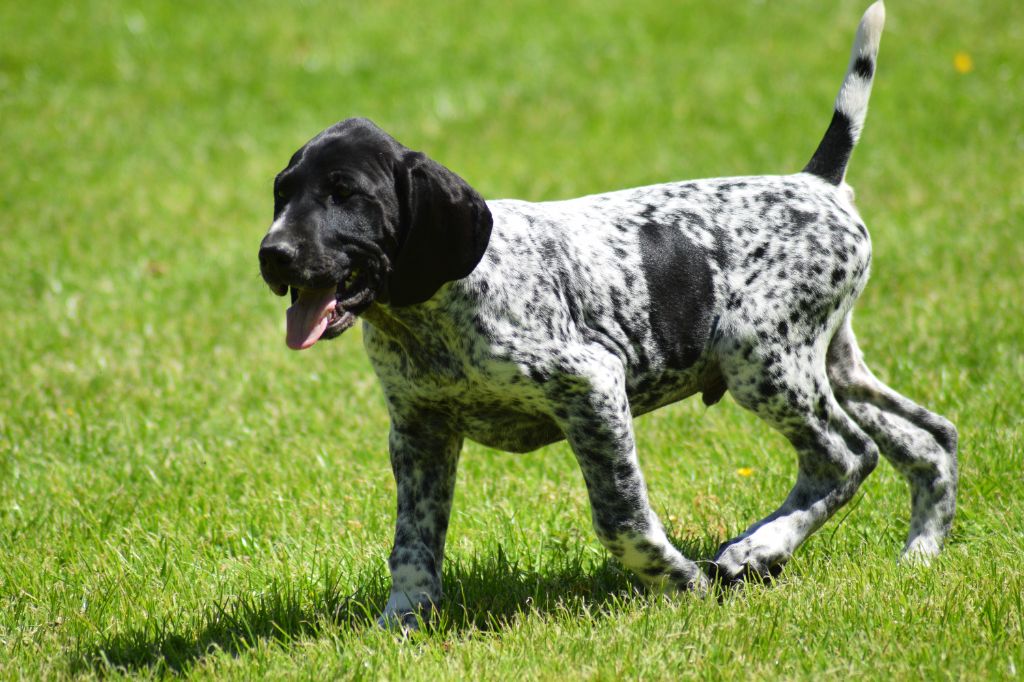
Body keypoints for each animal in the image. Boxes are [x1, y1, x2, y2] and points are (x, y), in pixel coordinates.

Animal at [258, 1, 958, 626]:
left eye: (346, 195)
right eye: (282, 194)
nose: (273, 254)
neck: (432, 313)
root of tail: (816, 183)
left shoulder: (591, 388)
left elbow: (620, 518)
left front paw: (678, 581)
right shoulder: (419, 429)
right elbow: (413, 541)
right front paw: (404, 617)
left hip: (761, 358)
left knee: (847, 454)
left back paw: (758, 549)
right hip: (828, 362)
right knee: (930, 439)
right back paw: (920, 552)